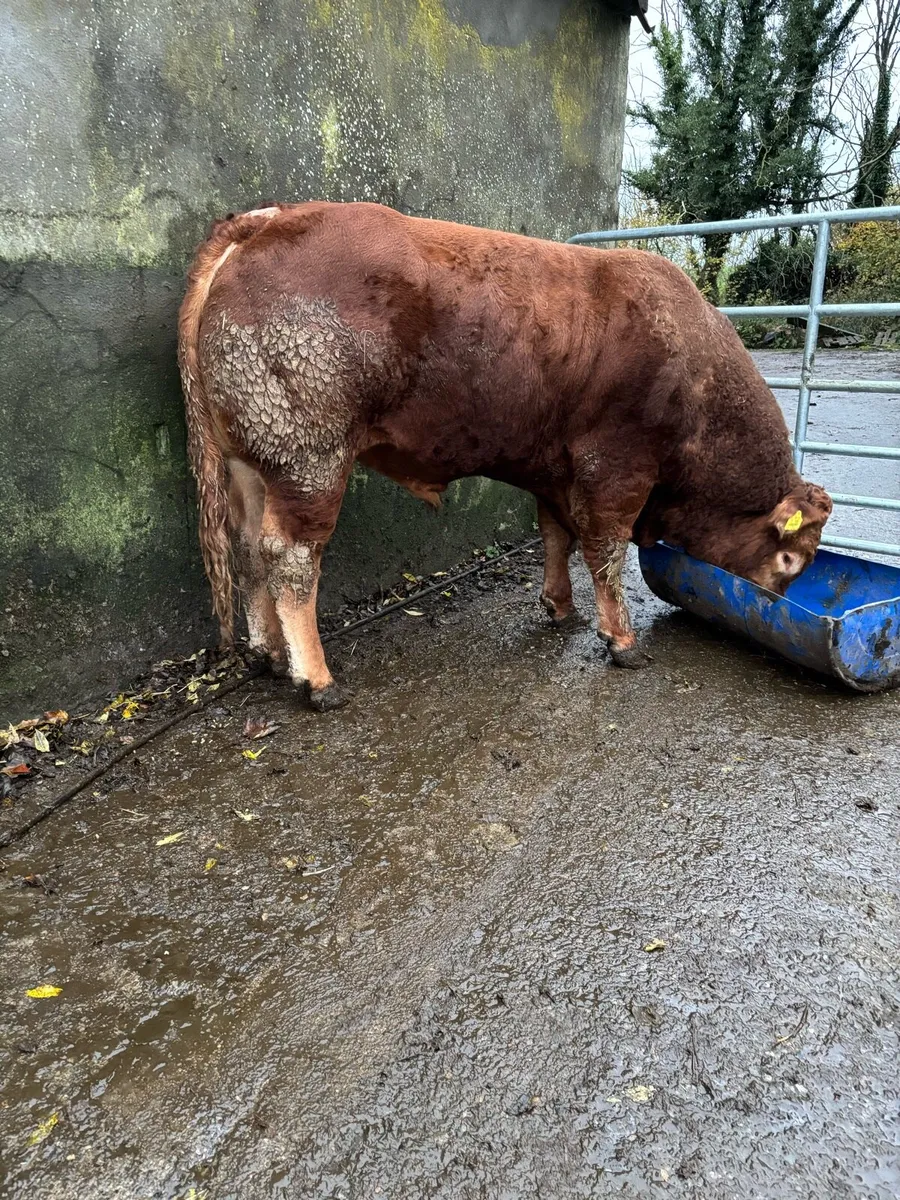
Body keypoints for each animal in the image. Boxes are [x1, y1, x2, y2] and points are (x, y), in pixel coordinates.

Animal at [178, 201, 832, 710]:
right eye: (790, 559)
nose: (773, 604)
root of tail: (264, 221)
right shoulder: (615, 468)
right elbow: (605, 551)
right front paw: (620, 639)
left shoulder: (554, 469)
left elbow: (555, 534)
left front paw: (560, 607)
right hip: (310, 455)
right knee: (290, 558)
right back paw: (315, 678)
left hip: (251, 461)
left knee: (248, 551)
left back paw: (267, 653)